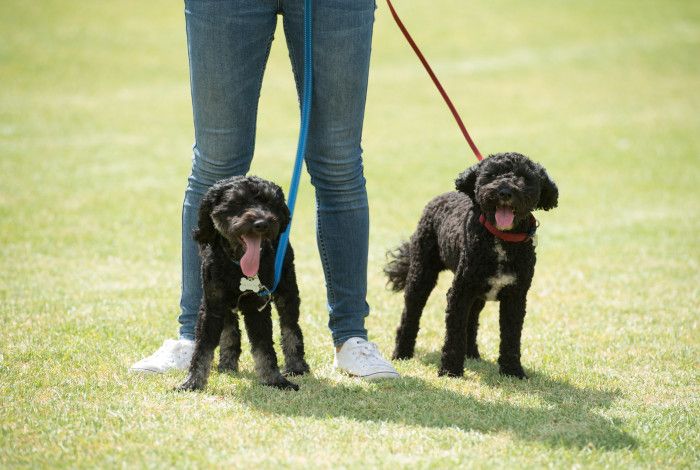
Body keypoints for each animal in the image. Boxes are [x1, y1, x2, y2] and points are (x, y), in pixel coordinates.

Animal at [176, 174, 308, 392]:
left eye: (270, 203)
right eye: (237, 202)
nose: (262, 223)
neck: (237, 266)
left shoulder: (258, 305)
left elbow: (264, 346)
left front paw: (275, 380)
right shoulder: (212, 305)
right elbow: (202, 347)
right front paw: (193, 382)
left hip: (287, 290)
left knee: (290, 327)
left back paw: (296, 366)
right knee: (230, 329)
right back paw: (227, 363)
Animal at [382, 152, 556, 380]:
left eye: (525, 178)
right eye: (491, 175)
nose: (505, 192)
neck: (500, 239)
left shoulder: (515, 296)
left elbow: (511, 337)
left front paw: (512, 371)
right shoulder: (459, 292)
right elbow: (454, 333)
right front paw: (450, 371)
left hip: (476, 292)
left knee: (472, 319)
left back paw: (472, 353)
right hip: (421, 273)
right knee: (411, 312)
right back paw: (402, 353)